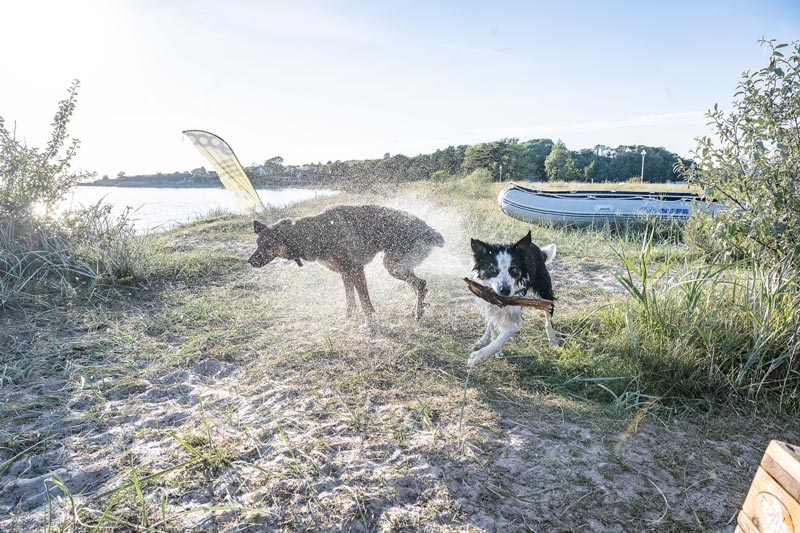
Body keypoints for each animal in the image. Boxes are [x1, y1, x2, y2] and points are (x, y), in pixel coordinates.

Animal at [248, 204, 444, 320]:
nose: (249, 262)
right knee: (420, 286)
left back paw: (418, 313)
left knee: (420, 284)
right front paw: (349, 317)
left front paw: (369, 322)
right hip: (399, 266)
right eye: (257, 244)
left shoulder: (356, 270)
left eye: (267, 245)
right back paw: (417, 310)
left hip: (392, 266)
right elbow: (350, 299)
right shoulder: (345, 274)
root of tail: (429, 229)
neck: (312, 233)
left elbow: (365, 301)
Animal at [468, 231, 556, 368]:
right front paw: (492, 346)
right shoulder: (488, 304)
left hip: (545, 294)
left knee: (548, 320)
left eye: (513, 269)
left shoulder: (515, 319)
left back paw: (553, 341)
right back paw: (483, 339)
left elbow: (500, 339)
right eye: (492, 269)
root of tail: (538, 249)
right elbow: (493, 328)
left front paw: (479, 356)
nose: (505, 290)